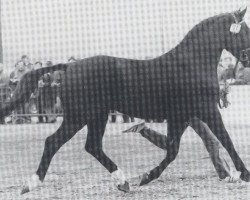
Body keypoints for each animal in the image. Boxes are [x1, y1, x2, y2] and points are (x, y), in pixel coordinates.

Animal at [1, 7, 250, 194]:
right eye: (245, 30)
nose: (247, 59)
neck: (190, 64)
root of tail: (70, 66)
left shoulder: (181, 115)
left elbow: (173, 149)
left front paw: (146, 176)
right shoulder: (206, 109)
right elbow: (225, 138)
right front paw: (244, 173)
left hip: (97, 116)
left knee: (92, 146)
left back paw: (123, 181)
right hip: (78, 116)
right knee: (53, 142)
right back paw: (31, 183)